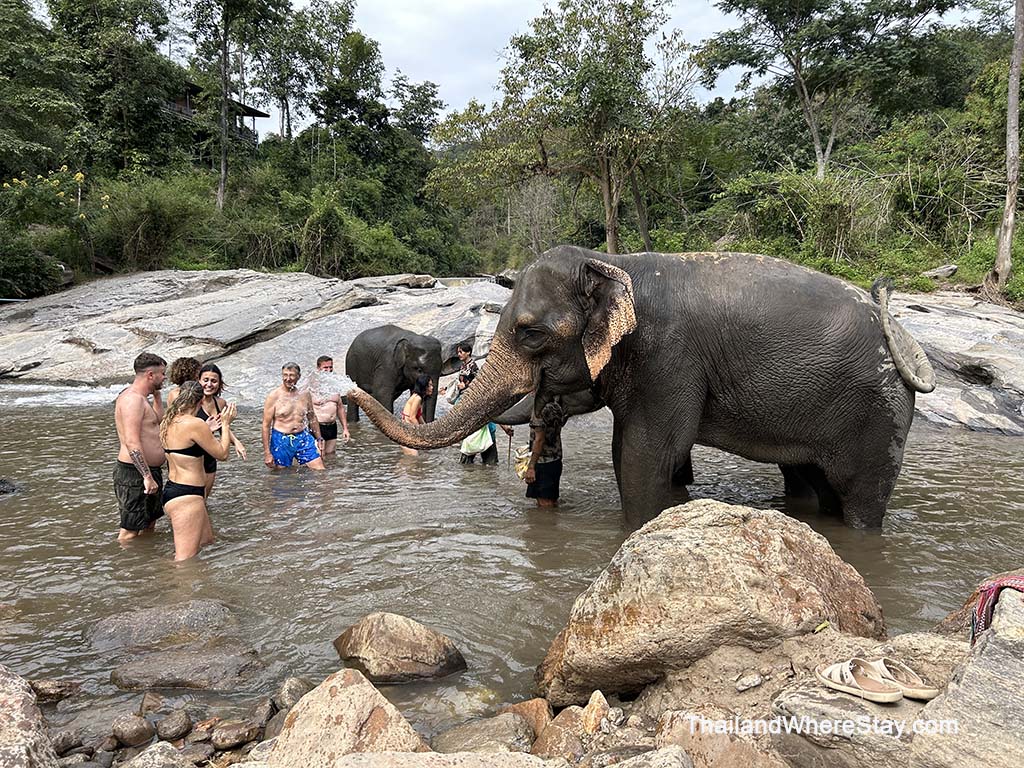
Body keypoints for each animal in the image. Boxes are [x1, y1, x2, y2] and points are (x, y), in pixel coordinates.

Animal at [351, 246, 936, 528]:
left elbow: (642, 452)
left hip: (878, 415)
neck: (614, 263)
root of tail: (901, 335)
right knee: (813, 485)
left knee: (861, 498)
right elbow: (657, 458)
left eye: (531, 332)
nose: (352, 393)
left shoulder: (668, 356)